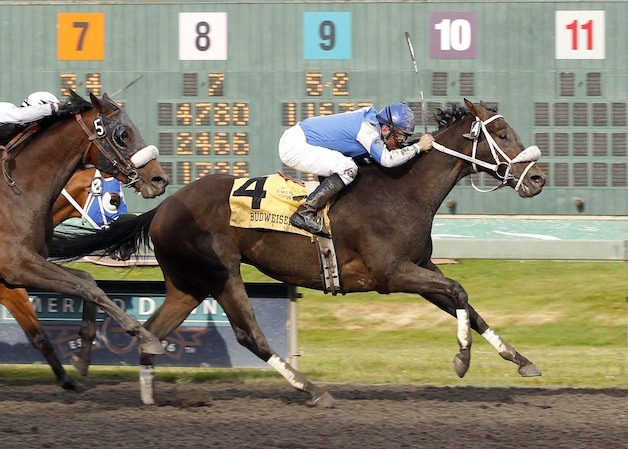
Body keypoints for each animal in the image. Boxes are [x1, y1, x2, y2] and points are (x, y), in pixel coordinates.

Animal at [0, 91, 169, 384]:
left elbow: (86, 282)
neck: (17, 193)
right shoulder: (16, 265)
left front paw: (78, 362)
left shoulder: (15, 273)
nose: (160, 179)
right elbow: (88, 288)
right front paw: (145, 337)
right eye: (123, 134)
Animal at [51, 99, 548, 406]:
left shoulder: (419, 269)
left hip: (187, 286)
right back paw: (312, 390)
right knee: (250, 336)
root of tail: (165, 205)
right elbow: (460, 290)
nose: (539, 178)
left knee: (153, 333)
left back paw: (149, 398)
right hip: (222, 274)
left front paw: (521, 360)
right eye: (503, 133)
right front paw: (462, 360)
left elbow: (468, 305)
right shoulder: (391, 274)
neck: (402, 191)